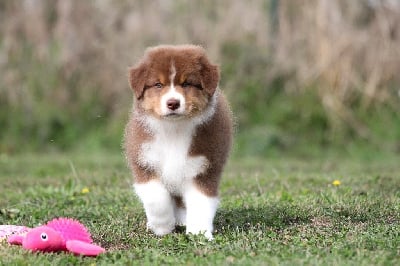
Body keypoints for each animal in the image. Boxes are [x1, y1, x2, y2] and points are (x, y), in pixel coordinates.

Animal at [123, 43, 233, 239]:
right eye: (158, 84)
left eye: (187, 83)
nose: (173, 103)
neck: (174, 130)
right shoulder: (145, 161)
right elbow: (156, 198)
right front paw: (162, 227)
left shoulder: (204, 167)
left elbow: (201, 202)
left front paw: (199, 233)